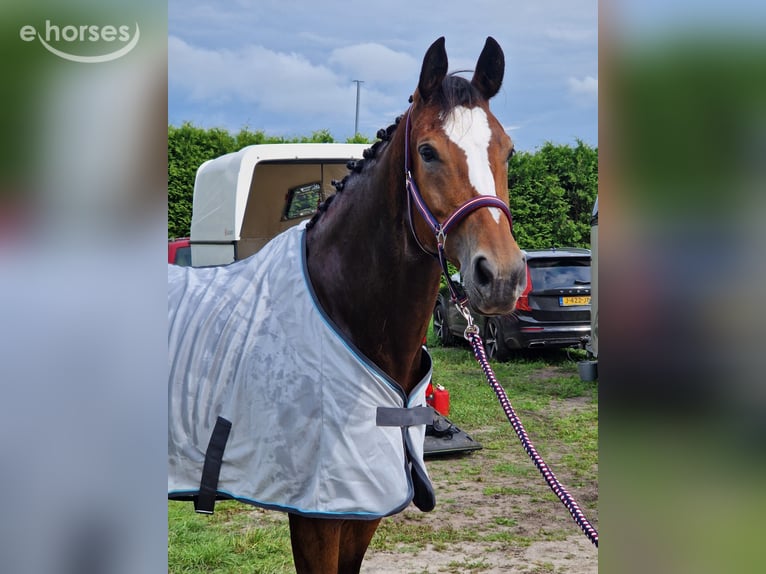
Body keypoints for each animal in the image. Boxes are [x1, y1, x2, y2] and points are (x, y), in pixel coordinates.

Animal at [168, 36, 526, 574]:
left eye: (507, 149)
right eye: (427, 152)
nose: (501, 277)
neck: (342, 312)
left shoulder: (365, 504)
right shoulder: (316, 512)